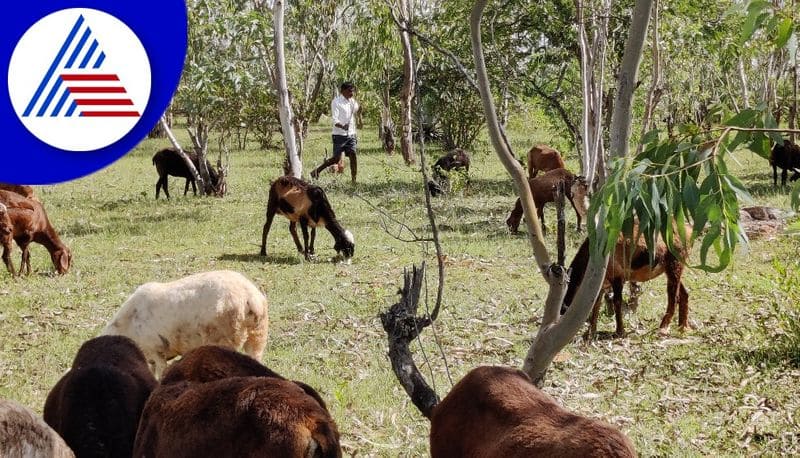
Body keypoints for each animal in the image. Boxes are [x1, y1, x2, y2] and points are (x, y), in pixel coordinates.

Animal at [560, 224, 692, 338]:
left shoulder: (618, 278)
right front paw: (590, 333)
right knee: (684, 293)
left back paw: (663, 328)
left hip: (675, 264)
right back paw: (683, 327)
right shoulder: (601, 285)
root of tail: (688, 229)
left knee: (673, 297)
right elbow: (596, 305)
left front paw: (620, 331)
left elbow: (617, 302)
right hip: (670, 269)